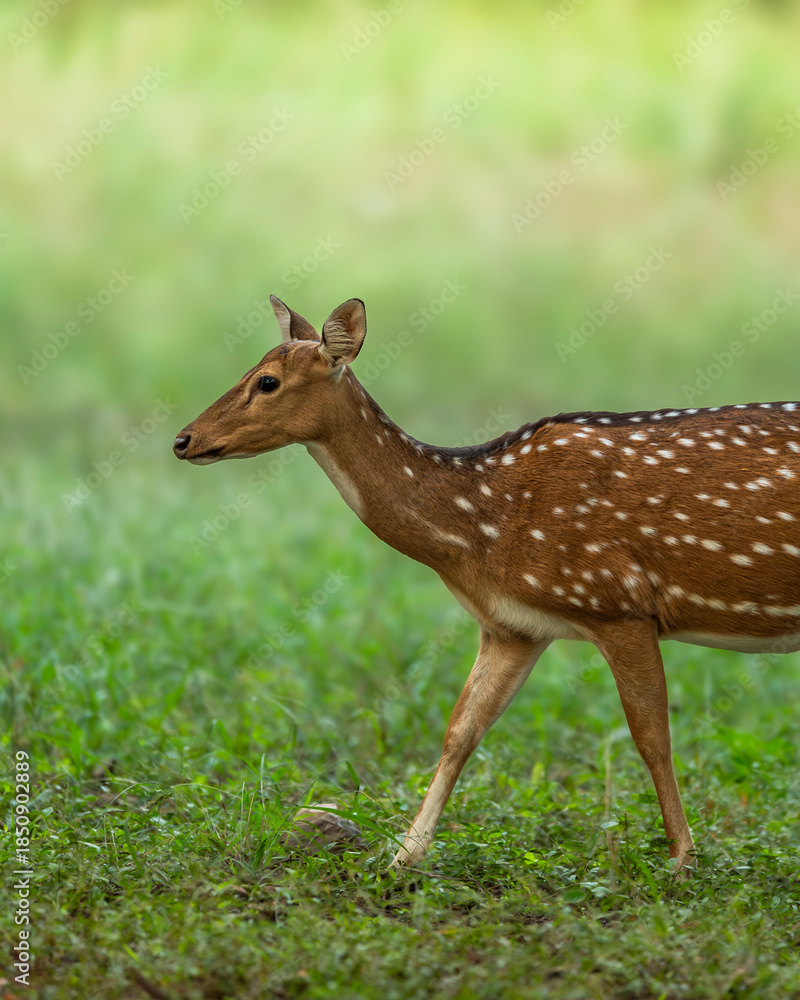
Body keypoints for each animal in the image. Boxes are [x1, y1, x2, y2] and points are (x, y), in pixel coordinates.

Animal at [173, 295, 800, 871]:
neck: (481, 534)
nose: (183, 440)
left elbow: (651, 737)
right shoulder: (512, 625)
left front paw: (682, 858)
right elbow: (461, 731)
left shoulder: (616, 601)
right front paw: (404, 855)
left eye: (267, 381)